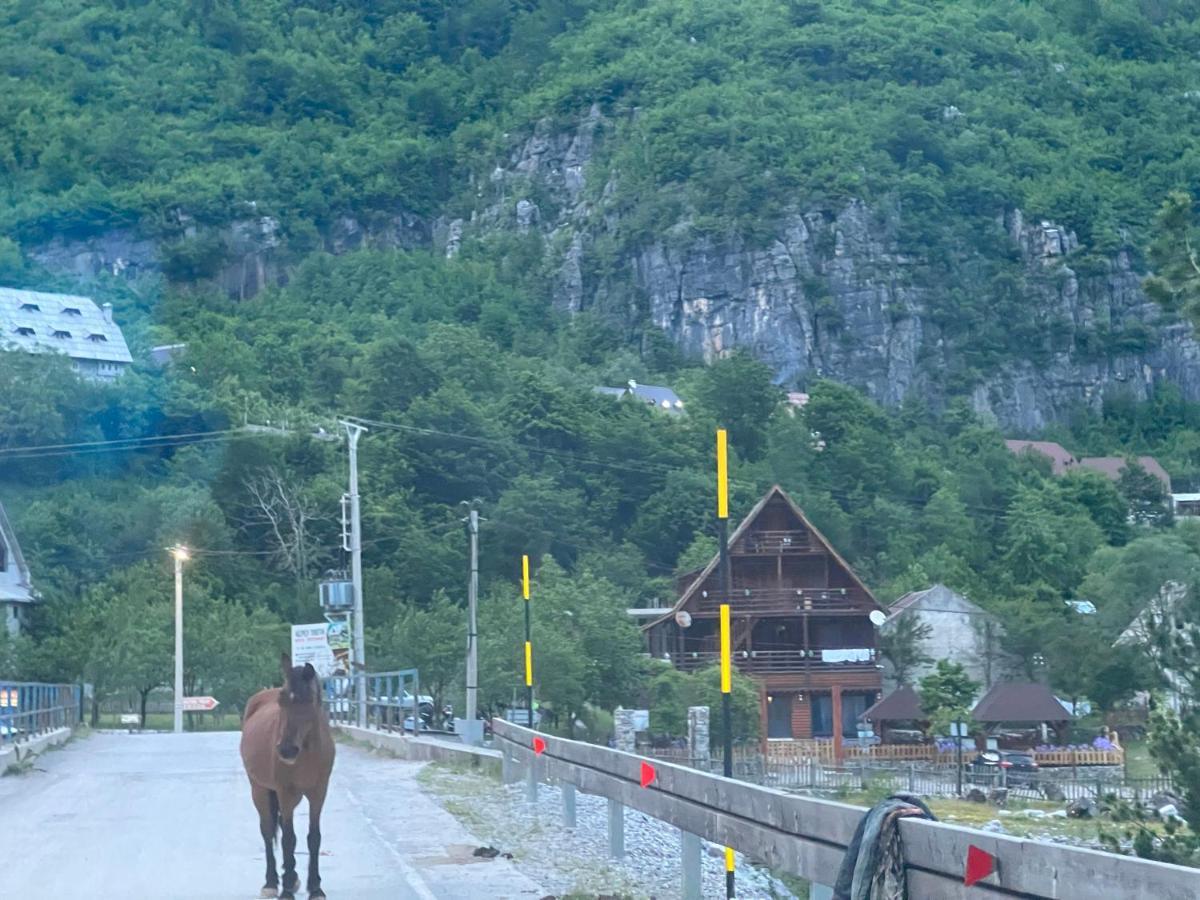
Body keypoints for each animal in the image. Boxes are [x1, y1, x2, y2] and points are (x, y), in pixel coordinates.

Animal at [238, 657, 336, 900]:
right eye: (281, 701)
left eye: (308, 700)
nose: (286, 750)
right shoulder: (284, 792)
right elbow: (288, 839)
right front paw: (286, 890)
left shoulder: (319, 792)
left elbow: (313, 837)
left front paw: (315, 888)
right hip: (260, 790)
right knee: (267, 830)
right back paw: (272, 882)